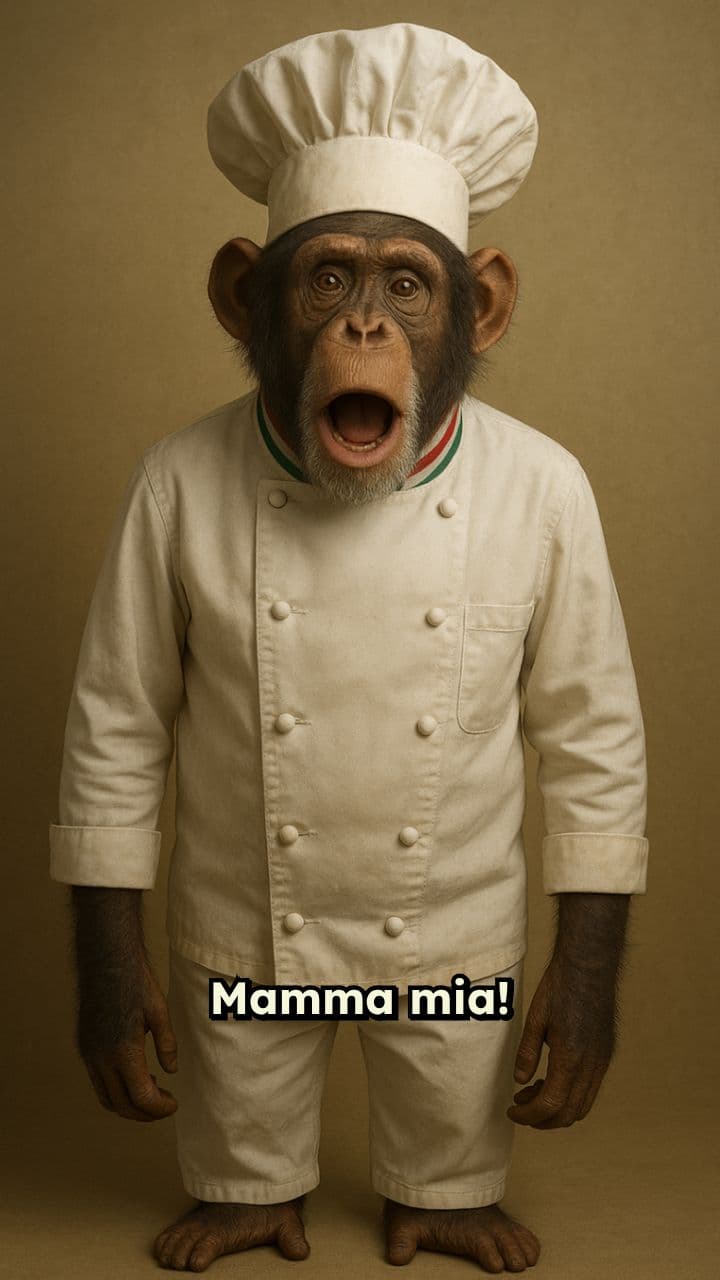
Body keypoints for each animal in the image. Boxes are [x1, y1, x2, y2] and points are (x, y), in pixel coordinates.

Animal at [66, 210, 634, 1274]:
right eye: (329, 277)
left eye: (405, 286)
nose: (365, 328)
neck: (363, 500)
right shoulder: (148, 505)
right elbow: (121, 723)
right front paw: (116, 1018)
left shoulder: (571, 510)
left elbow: (591, 737)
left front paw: (577, 1025)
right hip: (235, 973)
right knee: (245, 1075)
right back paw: (241, 1211)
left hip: (458, 974)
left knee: (447, 1079)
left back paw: (448, 1215)